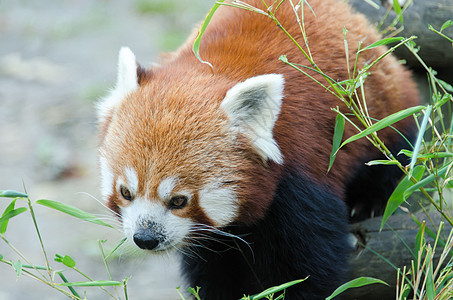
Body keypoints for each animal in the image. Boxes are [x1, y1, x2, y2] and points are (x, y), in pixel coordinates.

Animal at [97, 0, 418, 298]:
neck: (212, 71)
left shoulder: (298, 175)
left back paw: (369, 200)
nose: (145, 238)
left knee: (391, 152)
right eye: (125, 192)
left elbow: (306, 269)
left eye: (178, 200)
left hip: (379, 110)